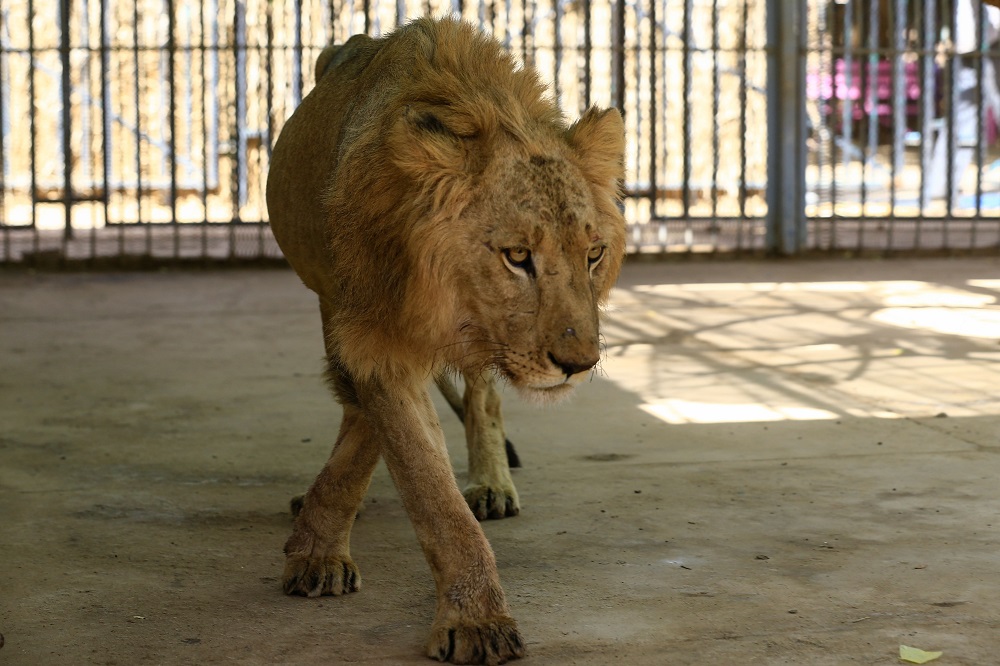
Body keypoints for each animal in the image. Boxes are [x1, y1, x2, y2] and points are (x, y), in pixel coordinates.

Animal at [265, 17, 625, 665]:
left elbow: (402, 449)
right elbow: (427, 487)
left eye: (593, 254)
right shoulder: (368, 332)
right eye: (517, 256)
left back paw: (492, 485)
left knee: (482, 398)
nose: (579, 364)